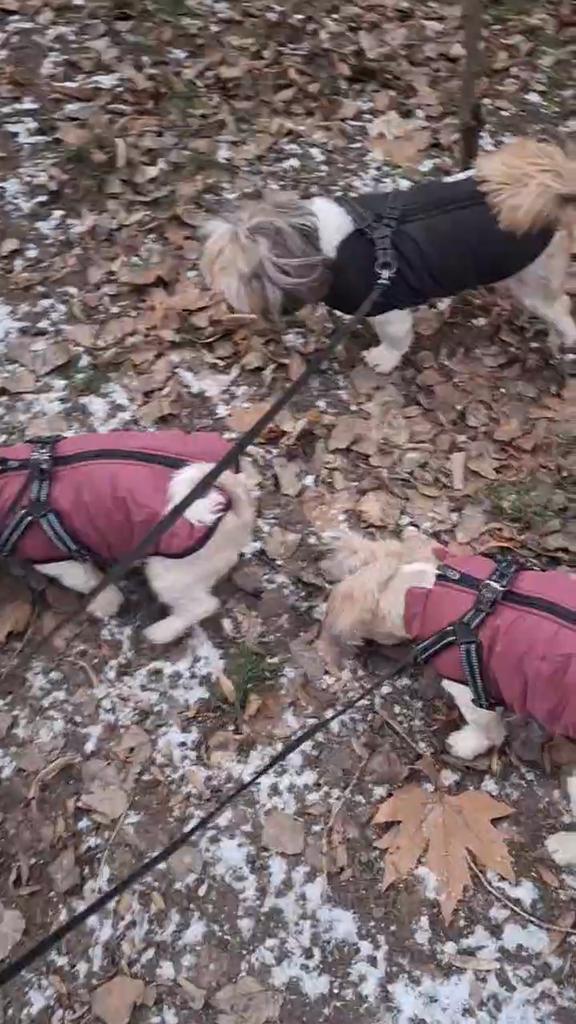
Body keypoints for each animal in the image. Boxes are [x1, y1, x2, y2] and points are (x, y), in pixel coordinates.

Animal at [0, 431, 255, 643]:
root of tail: (237, 506)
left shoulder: (61, 559)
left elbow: (91, 583)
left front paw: (105, 604)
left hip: (172, 575)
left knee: (203, 606)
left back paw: (161, 632)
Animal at [201, 139, 576, 373]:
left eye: (234, 272)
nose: (215, 285)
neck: (321, 244)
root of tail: (552, 190)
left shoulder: (387, 306)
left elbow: (395, 338)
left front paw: (383, 358)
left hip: (533, 281)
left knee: (560, 309)